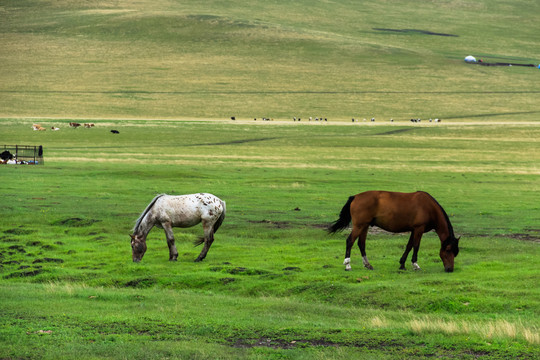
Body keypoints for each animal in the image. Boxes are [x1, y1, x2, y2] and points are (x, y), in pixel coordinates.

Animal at [330, 191, 460, 272]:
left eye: (455, 252)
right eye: (448, 250)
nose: (450, 269)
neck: (429, 208)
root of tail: (356, 196)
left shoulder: (413, 230)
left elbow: (409, 246)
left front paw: (402, 264)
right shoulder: (419, 228)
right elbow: (416, 246)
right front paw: (415, 265)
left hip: (364, 226)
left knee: (361, 244)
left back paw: (368, 264)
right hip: (359, 226)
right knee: (350, 241)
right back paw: (348, 265)